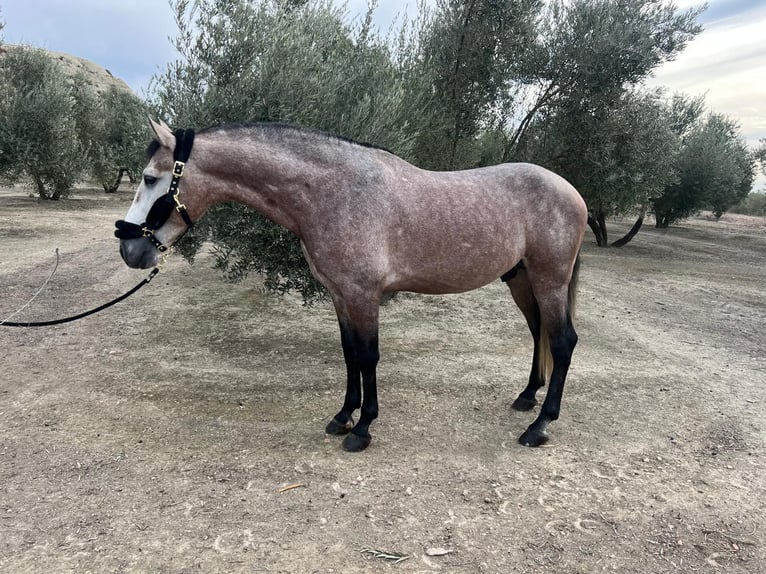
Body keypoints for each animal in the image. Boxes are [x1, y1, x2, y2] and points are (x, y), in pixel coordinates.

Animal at [117, 120, 592, 454]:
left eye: (150, 178)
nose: (129, 248)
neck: (334, 191)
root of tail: (571, 191)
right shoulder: (340, 294)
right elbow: (349, 355)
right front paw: (344, 415)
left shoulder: (364, 295)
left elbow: (368, 357)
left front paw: (363, 428)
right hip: (522, 281)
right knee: (540, 333)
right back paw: (526, 398)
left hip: (549, 280)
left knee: (563, 341)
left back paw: (539, 426)